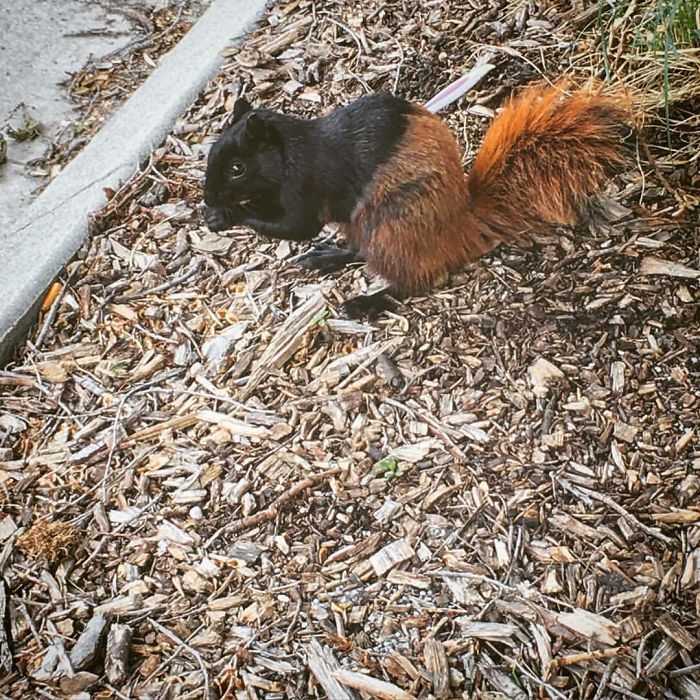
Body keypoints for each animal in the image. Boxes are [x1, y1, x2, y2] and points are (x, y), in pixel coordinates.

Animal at [202, 83, 630, 317]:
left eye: (238, 168)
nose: (207, 196)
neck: (293, 150)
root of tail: (460, 227)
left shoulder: (305, 185)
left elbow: (296, 225)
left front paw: (223, 216)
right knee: (358, 250)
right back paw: (327, 257)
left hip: (392, 228)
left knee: (411, 281)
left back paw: (367, 302)